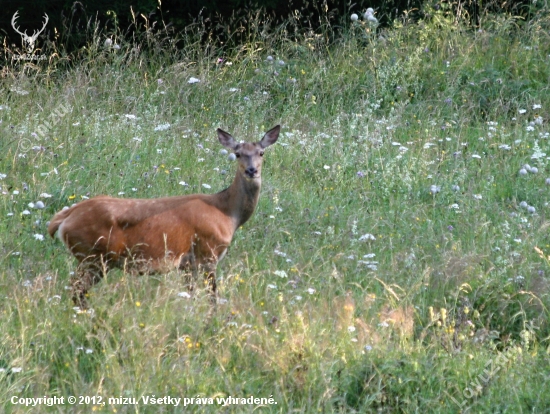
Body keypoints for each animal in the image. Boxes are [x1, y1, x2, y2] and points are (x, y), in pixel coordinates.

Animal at [48, 125, 282, 308]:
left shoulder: (187, 265)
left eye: (261, 152)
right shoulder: (208, 253)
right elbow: (212, 298)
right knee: (77, 292)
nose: (251, 170)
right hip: (94, 256)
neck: (227, 213)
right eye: (238, 153)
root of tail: (64, 219)